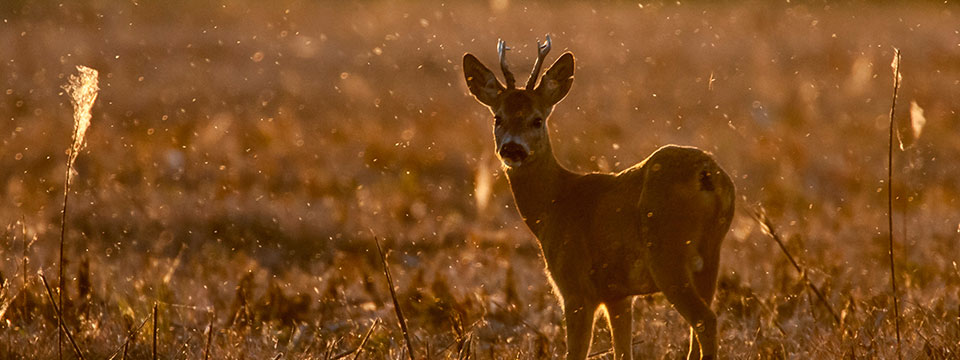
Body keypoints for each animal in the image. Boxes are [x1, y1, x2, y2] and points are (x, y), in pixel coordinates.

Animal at [464, 34, 736, 360]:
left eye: (537, 120)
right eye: (498, 118)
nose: (512, 149)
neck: (555, 204)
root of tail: (708, 174)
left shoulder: (576, 287)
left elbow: (576, 353)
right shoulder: (618, 294)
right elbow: (623, 351)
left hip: (667, 253)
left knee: (705, 320)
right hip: (709, 256)